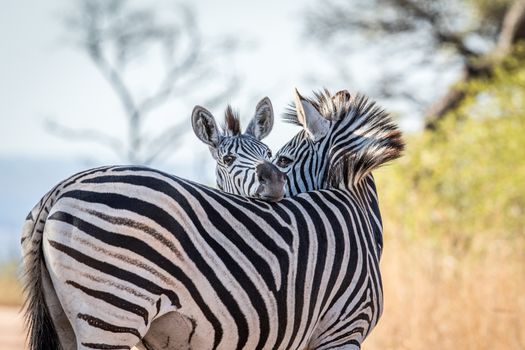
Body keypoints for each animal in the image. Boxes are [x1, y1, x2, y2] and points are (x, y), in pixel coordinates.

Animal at [21, 91, 402, 350]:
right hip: (113, 311)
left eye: (278, 157)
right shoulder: (343, 328)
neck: (354, 206)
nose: (273, 182)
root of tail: (59, 189)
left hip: (68, 319)